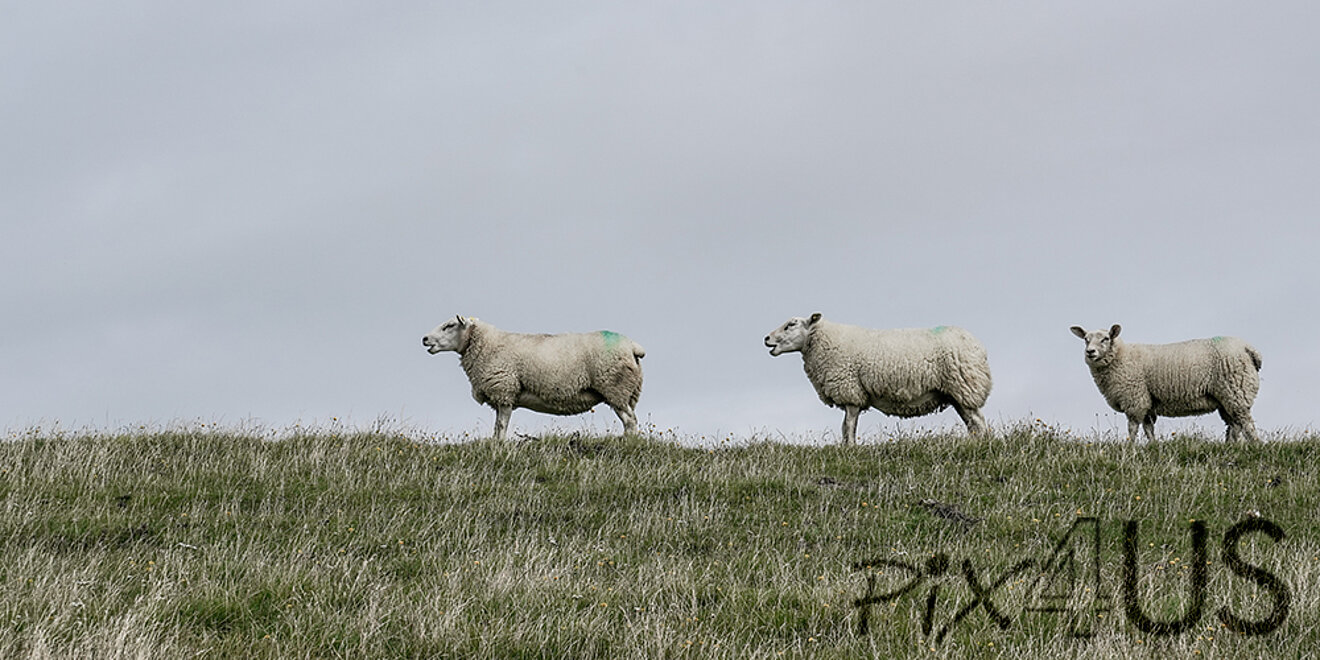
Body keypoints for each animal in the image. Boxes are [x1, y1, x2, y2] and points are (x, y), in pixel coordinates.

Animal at [422, 316, 645, 441]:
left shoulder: (504, 390)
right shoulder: (502, 396)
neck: (486, 344)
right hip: (627, 392)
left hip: (615, 387)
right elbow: (497, 425)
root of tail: (633, 347)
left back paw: (628, 443)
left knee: (630, 421)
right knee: (631, 419)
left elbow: (501, 425)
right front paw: (495, 443)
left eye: (449, 325)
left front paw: (499, 446)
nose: (424, 339)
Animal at [764, 313, 992, 443]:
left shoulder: (851, 392)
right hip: (957, 394)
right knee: (972, 423)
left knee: (979, 422)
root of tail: (978, 346)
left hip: (965, 385)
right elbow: (845, 426)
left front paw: (850, 448)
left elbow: (848, 426)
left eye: (791, 324)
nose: (766, 338)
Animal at [1069, 324, 1262, 442]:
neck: (1120, 356)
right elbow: (1148, 428)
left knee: (1247, 424)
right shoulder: (1147, 401)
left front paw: (1130, 447)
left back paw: (1255, 446)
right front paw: (1152, 446)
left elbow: (1133, 427)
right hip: (1226, 398)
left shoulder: (1135, 399)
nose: (1090, 352)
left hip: (1236, 390)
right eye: (1086, 339)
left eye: (1105, 339)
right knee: (1234, 425)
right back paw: (1230, 446)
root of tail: (1249, 349)